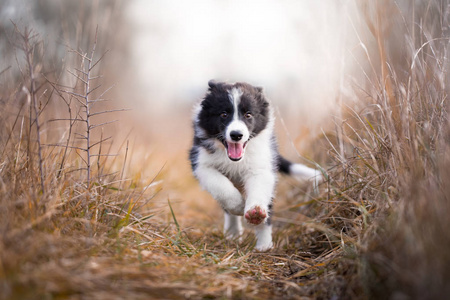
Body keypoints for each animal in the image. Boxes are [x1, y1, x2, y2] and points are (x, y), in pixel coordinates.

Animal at [190, 79, 320, 251]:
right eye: (223, 114)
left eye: (248, 114)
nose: (236, 135)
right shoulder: (200, 162)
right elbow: (221, 186)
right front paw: (239, 206)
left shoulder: (262, 166)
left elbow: (259, 188)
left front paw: (255, 212)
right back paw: (233, 233)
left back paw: (264, 246)